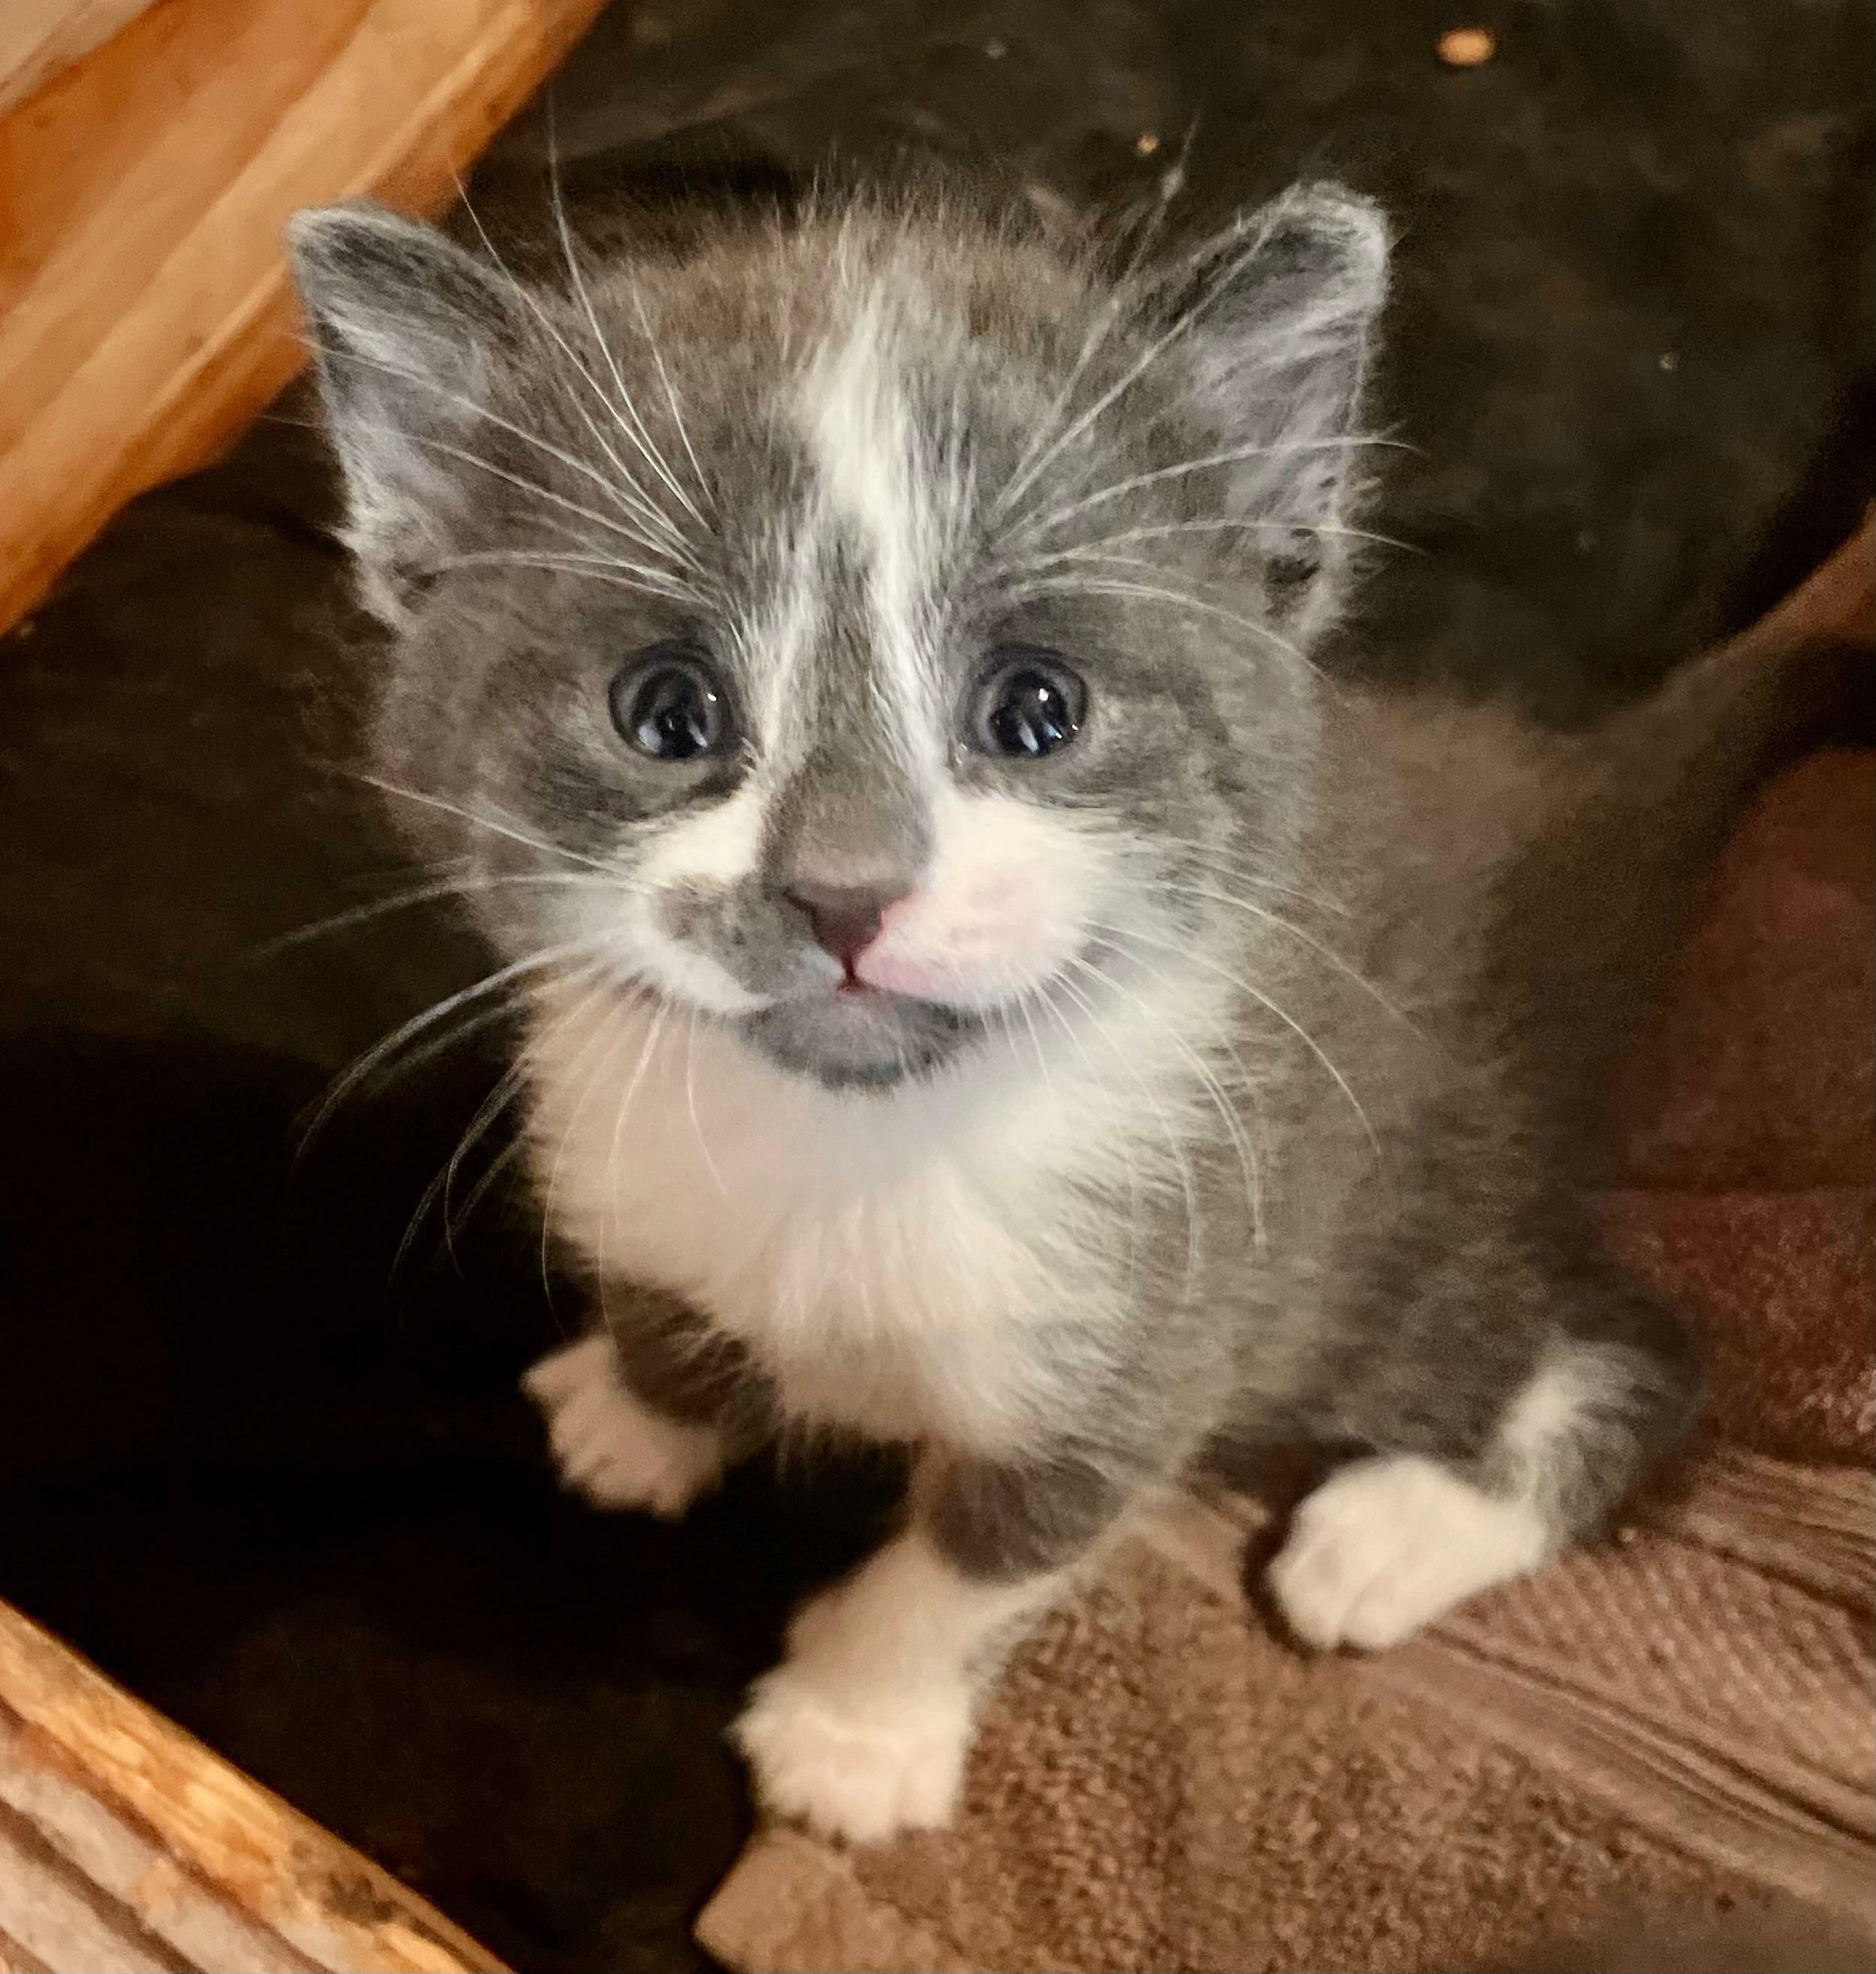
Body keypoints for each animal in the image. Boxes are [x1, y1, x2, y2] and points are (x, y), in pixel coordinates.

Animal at [282, 177, 1808, 1840]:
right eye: (666, 711)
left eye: (1034, 709)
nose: (842, 890)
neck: (853, 1148)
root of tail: (1538, 805)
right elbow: (670, 1301)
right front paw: (640, 1407)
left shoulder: (1164, 1317)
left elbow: (985, 1553)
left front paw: (853, 1727)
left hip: (1384, 1242)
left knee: (1628, 1348)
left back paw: (1389, 1532)